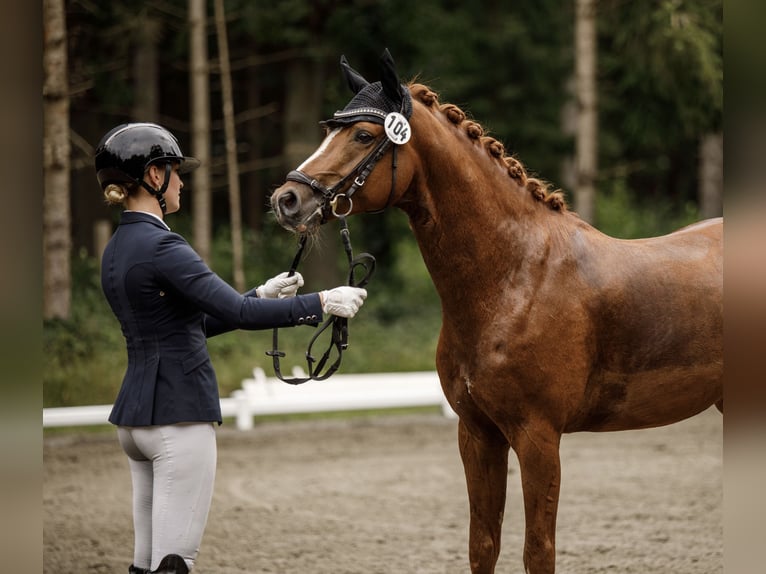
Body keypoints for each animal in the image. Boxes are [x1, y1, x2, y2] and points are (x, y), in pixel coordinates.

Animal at [272, 51, 728, 572]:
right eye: (330, 130)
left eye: (364, 136)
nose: (287, 200)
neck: (515, 277)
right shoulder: (477, 434)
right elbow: (483, 544)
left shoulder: (538, 437)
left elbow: (538, 550)